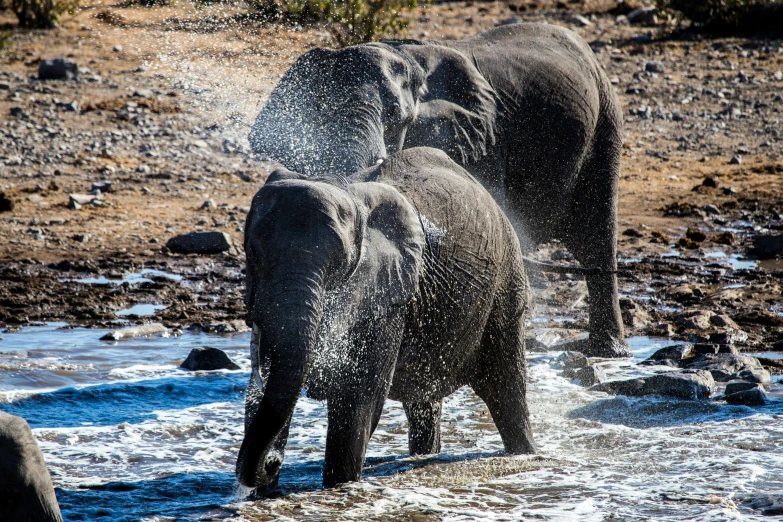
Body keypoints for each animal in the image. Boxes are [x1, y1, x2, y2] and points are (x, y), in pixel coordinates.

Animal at [236, 145, 536, 488]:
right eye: (253, 252)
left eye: (340, 263)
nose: (272, 464)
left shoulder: (385, 299)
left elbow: (358, 401)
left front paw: (339, 487)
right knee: (424, 402)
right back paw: (423, 457)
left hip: (506, 283)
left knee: (506, 390)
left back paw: (527, 456)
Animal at [251, 23, 632, 358]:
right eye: (316, 113)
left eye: (395, 113)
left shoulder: (480, 143)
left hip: (606, 122)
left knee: (596, 236)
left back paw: (608, 353)